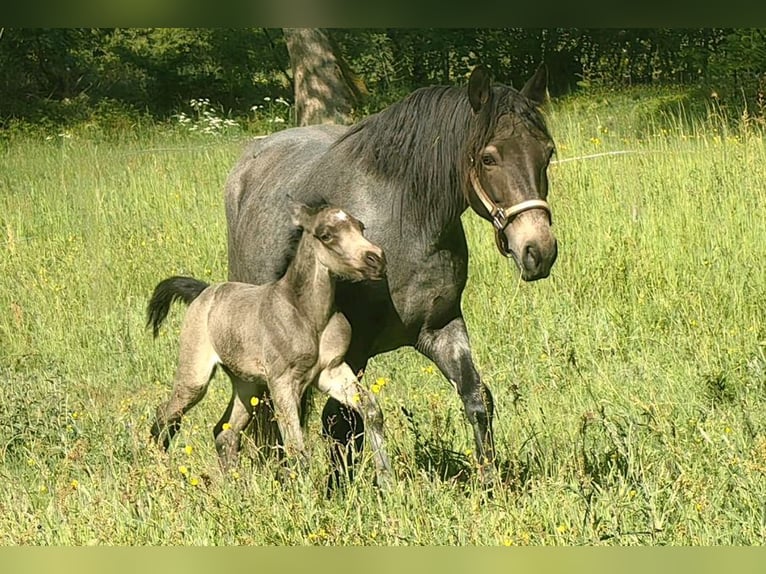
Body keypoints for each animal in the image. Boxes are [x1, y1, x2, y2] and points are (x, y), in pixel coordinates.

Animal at [147, 203, 392, 486]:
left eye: (360, 226)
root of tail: (204, 293)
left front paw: (387, 480)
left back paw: (235, 486)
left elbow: (371, 409)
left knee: (225, 433)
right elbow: (296, 448)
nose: (376, 259)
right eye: (326, 235)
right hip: (195, 377)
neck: (310, 316)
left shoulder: (330, 371)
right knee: (166, 416)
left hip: (247, 386)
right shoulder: (283, 381)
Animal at [223, 65, 558, 488]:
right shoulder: (352, 349)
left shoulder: (441, 328)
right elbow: (341, 422)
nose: (539, 250)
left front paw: (489, 482)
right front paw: (342, 491)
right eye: (488, 158)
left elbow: (477, 397)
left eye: (547, 153)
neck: (402, 222)